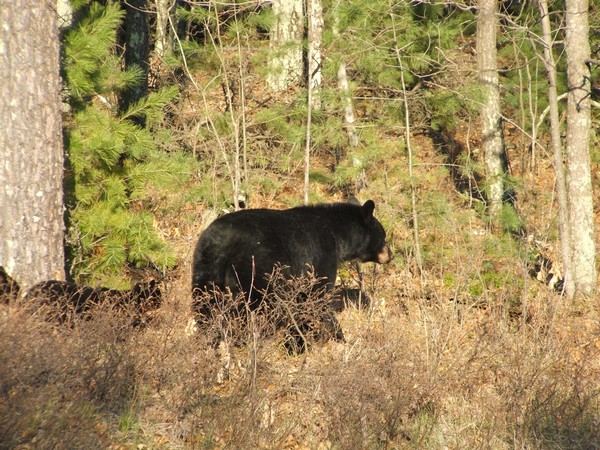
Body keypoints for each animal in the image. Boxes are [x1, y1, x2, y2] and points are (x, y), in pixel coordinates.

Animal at [192, 199, 396, 350]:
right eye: (383, 235)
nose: (391, 255)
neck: (337, 235)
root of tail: (221, 245)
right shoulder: (321, 255)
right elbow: (316, 297)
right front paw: (335, 338)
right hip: (256, 270)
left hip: (205, 267)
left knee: (205, 306)